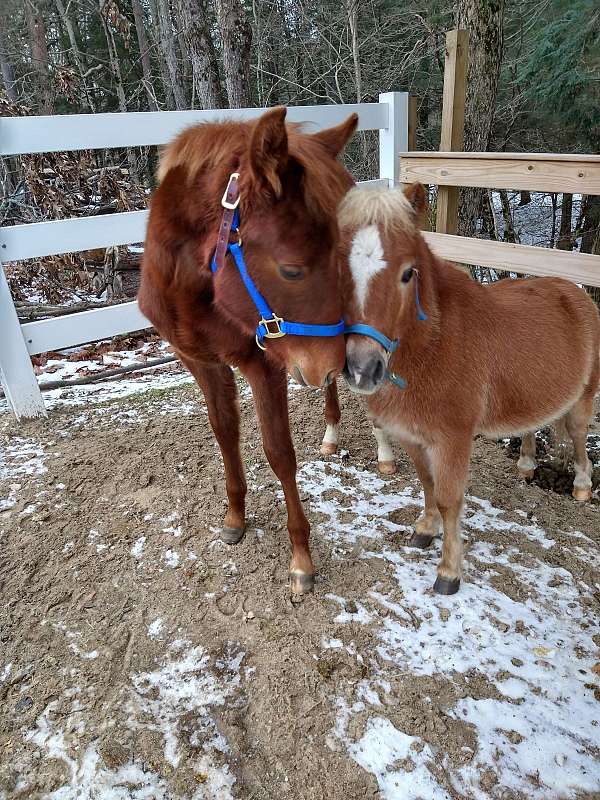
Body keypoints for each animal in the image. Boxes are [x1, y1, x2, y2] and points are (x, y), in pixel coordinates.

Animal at [138, 108, 358, 592]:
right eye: (291, 270)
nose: (325, 366)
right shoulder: (201, 363)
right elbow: (225, 433)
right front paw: (235, 517)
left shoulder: (264, 366)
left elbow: (279, 454)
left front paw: (301, 558)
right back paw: (332, 432)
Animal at [338, 181, 600, 592]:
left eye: (408, 273)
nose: (363, 369)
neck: (432, 345)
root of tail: (575, 291)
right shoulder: (412, 437)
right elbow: (427, 484)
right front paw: (424, 531)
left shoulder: (452, 440)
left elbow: (448, 499)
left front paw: (449, 572)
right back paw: (526, 465)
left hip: (582, 400)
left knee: (577, 436)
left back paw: (583, 486)